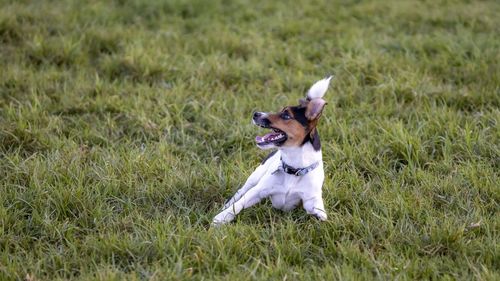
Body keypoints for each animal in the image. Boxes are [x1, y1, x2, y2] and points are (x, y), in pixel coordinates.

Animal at [211, 75, 332, 224]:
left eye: (286, 115)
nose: (256, 113)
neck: (293, 168)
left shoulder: (310, 198)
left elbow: (318, 208)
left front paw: (320, 215)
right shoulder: (259, 191)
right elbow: (239, 204)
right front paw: (221, 217)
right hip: (255, 176)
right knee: (241, 192)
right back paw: (226, 205)